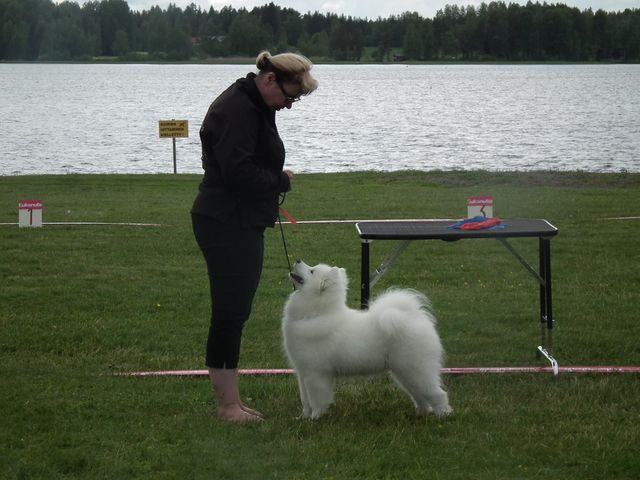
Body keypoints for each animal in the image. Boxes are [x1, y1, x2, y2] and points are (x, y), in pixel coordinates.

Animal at [282, 258, 452, 420]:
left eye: (312, 271)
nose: (297, 259)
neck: (316, 314)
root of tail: (415, 317)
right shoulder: (302, 372)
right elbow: (305, 400)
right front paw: (303, 418)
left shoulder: (315, 374)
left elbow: (316, 400)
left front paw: (316, 417)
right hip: (404, 373)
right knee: (419, 396)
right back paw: (421, 413)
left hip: (417, 370)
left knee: (437, 394)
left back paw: (443, 415)